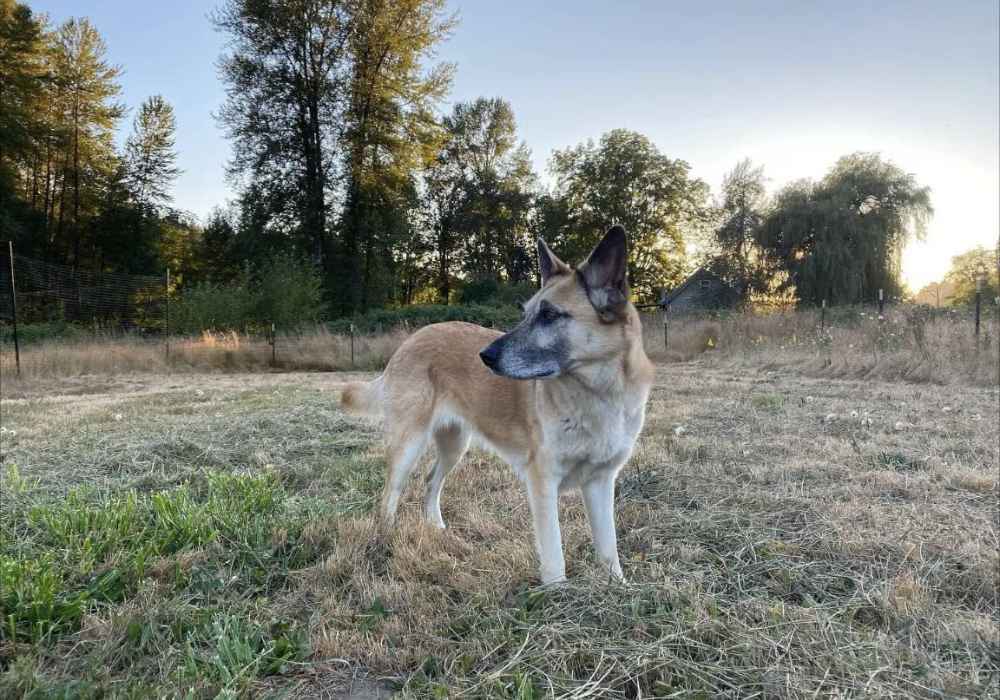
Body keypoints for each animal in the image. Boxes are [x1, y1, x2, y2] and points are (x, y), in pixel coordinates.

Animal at [342, 227, 656, 584]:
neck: (598, 392)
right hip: (409, 444)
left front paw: (617, 586)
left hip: (454, 446)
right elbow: (554, 555)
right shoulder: (542, 482)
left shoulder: (601, 483)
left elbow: (608, 548)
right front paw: (557, 592)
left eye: (549, 315)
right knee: (389, 495)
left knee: (431, 482)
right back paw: (385, 542)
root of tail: (410, 340)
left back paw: (437, 528)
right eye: (526, 313)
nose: (485, 356)